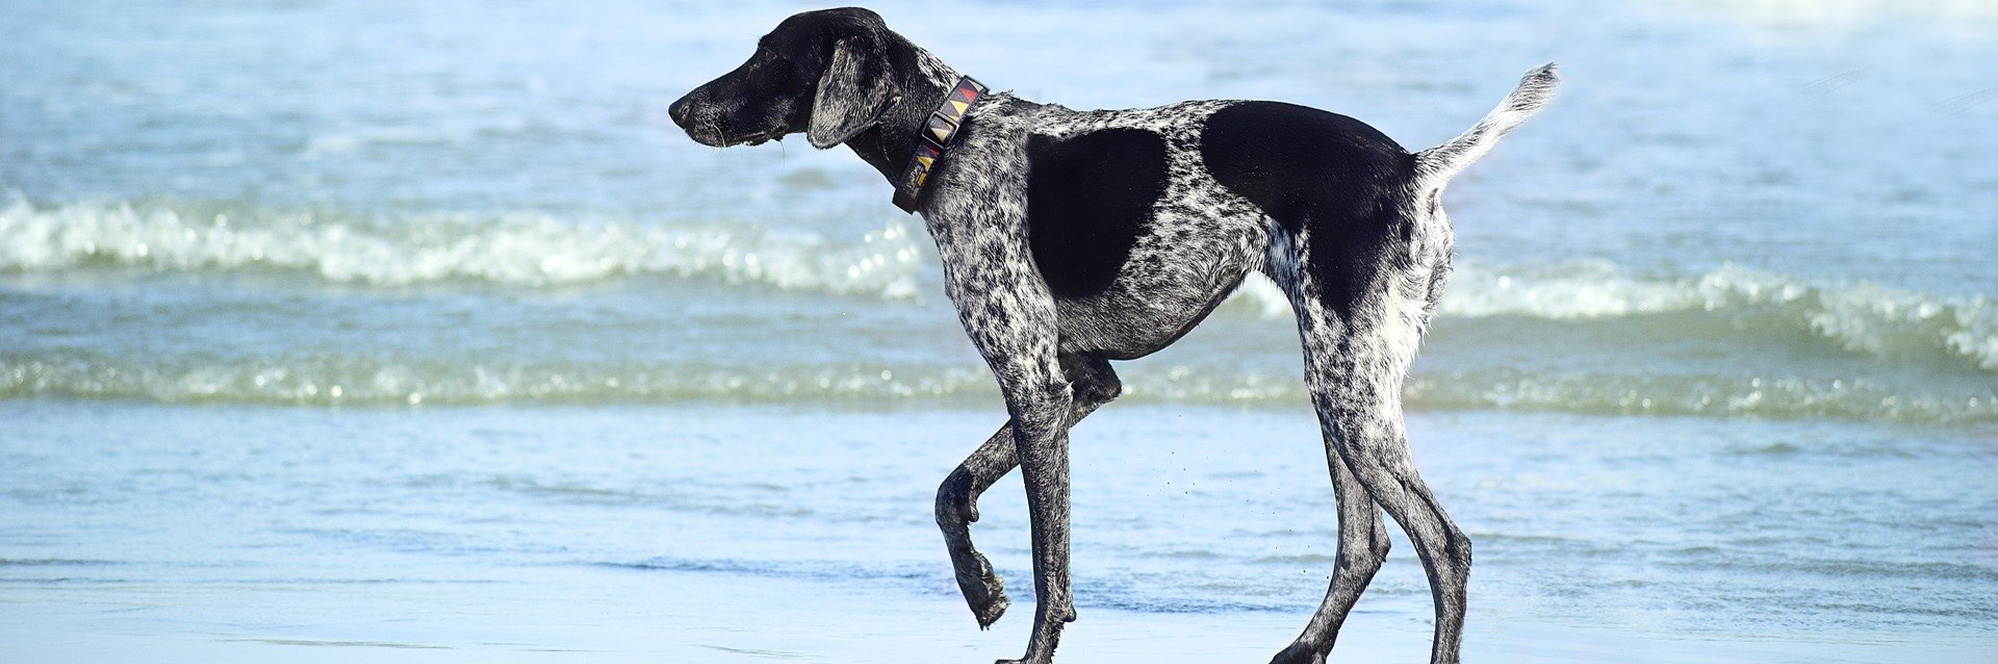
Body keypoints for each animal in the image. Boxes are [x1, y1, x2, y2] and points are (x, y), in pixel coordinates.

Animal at [663, 6, 1550, 664]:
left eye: (768, 57)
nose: (676, 109)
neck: (948, 137)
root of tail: (1412, 166)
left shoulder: (1035, 389)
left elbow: (1049, 565)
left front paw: (1027, 643)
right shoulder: (1081, 384)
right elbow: (953, 493)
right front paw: (980, 587)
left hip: (1349, 393)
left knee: (1444, 546)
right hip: (1342, 389)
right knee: (1365, 546)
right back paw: (1300, 648)